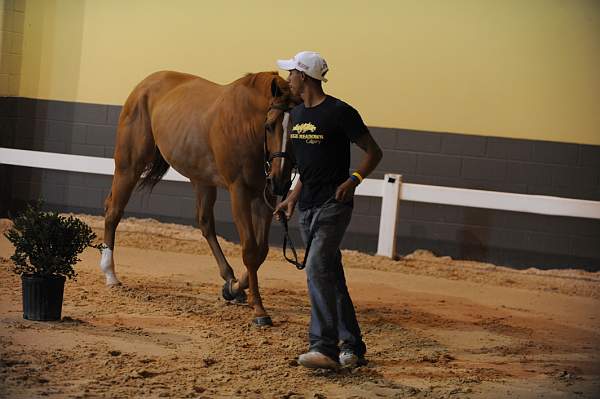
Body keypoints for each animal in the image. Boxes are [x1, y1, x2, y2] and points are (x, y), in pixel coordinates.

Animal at [99, 72, 296, 326]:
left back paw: (229, 280)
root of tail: (145, 84)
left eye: (298, 130)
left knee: (205, 223)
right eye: (270, 126)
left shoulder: (265, 195)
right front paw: (260, 311)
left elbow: (260, 252)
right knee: (114, 211)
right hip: (129, 166)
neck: (245, 124)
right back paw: (110, 274)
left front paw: (235, 289)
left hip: (202, 180)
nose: (281, 180)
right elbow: (251, 251)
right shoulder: (239, 191)